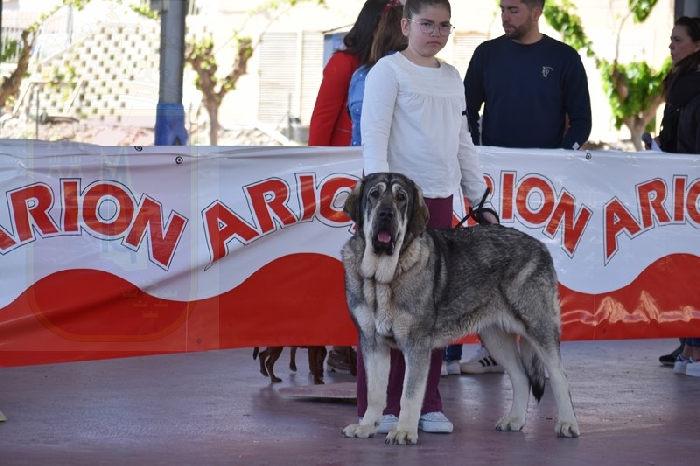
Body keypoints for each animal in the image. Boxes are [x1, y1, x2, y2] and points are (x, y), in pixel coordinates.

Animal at [340, 172, 579, 445]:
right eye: (374, 195)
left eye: (401, 198)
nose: (386, 214)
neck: (384, 276)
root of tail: (541, 246)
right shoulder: (372, 342)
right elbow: (375, 392)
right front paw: (367, 426)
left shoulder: (416, 344)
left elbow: (409, 394)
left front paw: (404, 431)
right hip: (495, 337)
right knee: (521, 377)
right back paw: (515, 420)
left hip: (537, 327)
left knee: (559, 376)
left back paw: (567, 423)